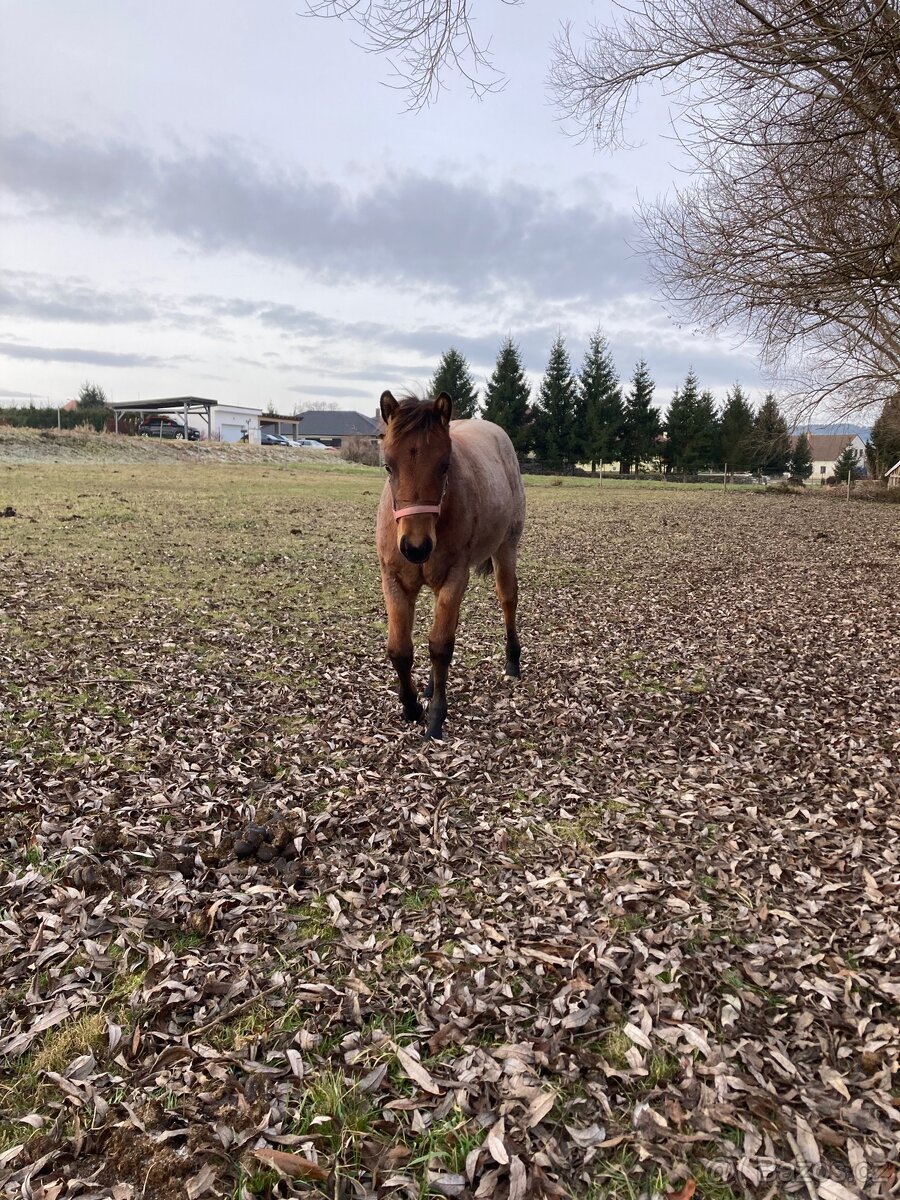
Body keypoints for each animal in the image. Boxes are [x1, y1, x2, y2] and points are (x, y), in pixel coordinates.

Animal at [376, 389, 526, 740]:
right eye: (388, 466)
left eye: (444, 466)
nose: (415, 547)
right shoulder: (394, 580)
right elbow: (400, 648)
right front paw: (412, 707)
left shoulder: (454, 576)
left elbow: (441, 646)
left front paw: (435, 717)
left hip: (505, 548)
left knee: (508, 599)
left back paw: (512, 661)